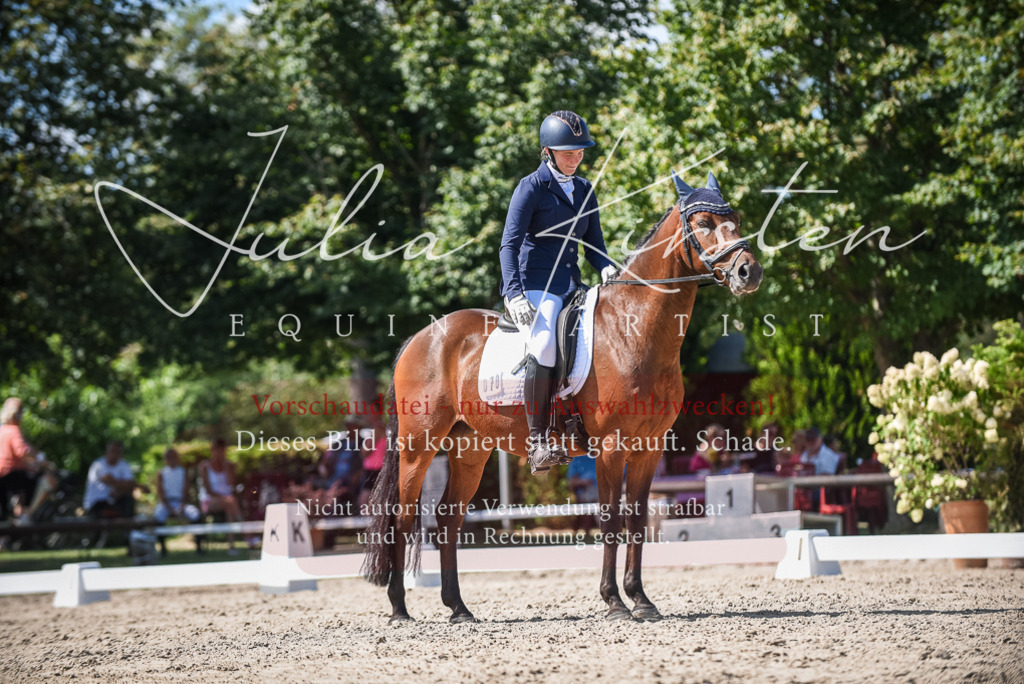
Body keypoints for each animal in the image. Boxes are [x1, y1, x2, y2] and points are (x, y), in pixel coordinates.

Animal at [361, 171, 763, 622]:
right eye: (704, 224)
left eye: (735, 219)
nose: (749, 272)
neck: (634, 329)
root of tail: (422, 336)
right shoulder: (611, 447)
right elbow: (609, 519)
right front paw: (614, 601)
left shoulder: (649, 447)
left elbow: (637, 521)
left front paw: (641, 600)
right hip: (419, 445)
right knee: (402, 517)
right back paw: (399, 608)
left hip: (471, 447)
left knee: (448, 521)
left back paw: (459, 608)